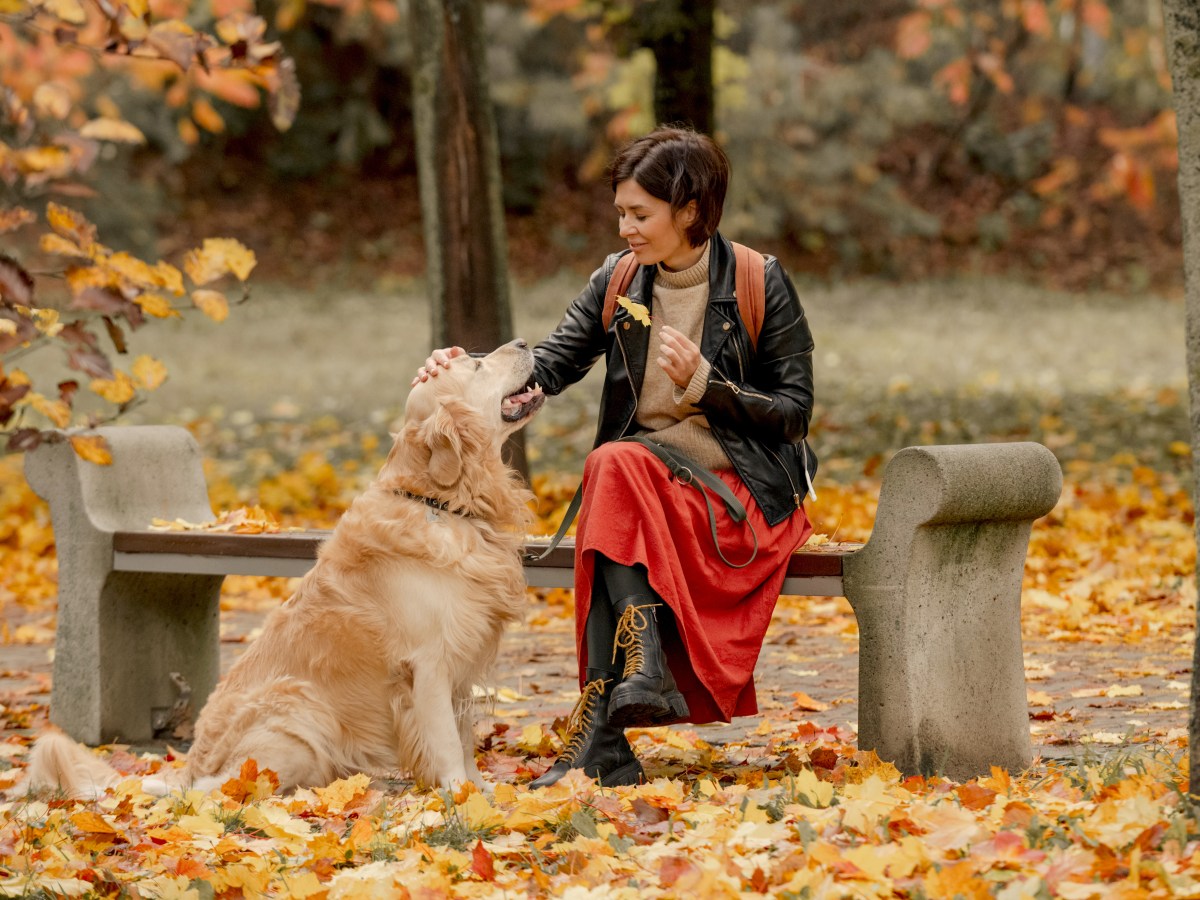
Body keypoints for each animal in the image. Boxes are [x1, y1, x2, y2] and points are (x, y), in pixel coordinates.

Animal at [22, 340, 544, 801]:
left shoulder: (460, 662)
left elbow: (465, 738)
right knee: (221, 791)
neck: (441, 503)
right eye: (476, 366)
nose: (524, 342)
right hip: (299, 707)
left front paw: (482, 791)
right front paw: (459, 797)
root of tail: (189, 767)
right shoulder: (428, 665)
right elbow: (447, 742)